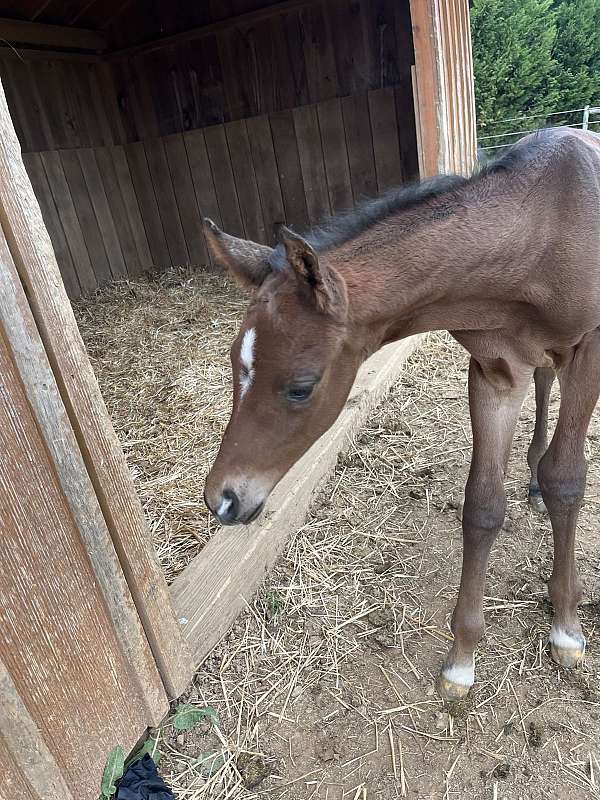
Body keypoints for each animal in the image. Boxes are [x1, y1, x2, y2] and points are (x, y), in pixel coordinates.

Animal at [202, 127, 600, 701]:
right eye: (235, 363)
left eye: (301, 387)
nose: (223, 500)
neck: (543, 234)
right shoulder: (496, 370)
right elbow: (482, 505)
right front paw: (462, 658)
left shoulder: (589, 350)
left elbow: (566, 481)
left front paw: (566, 627)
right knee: (543, 386)